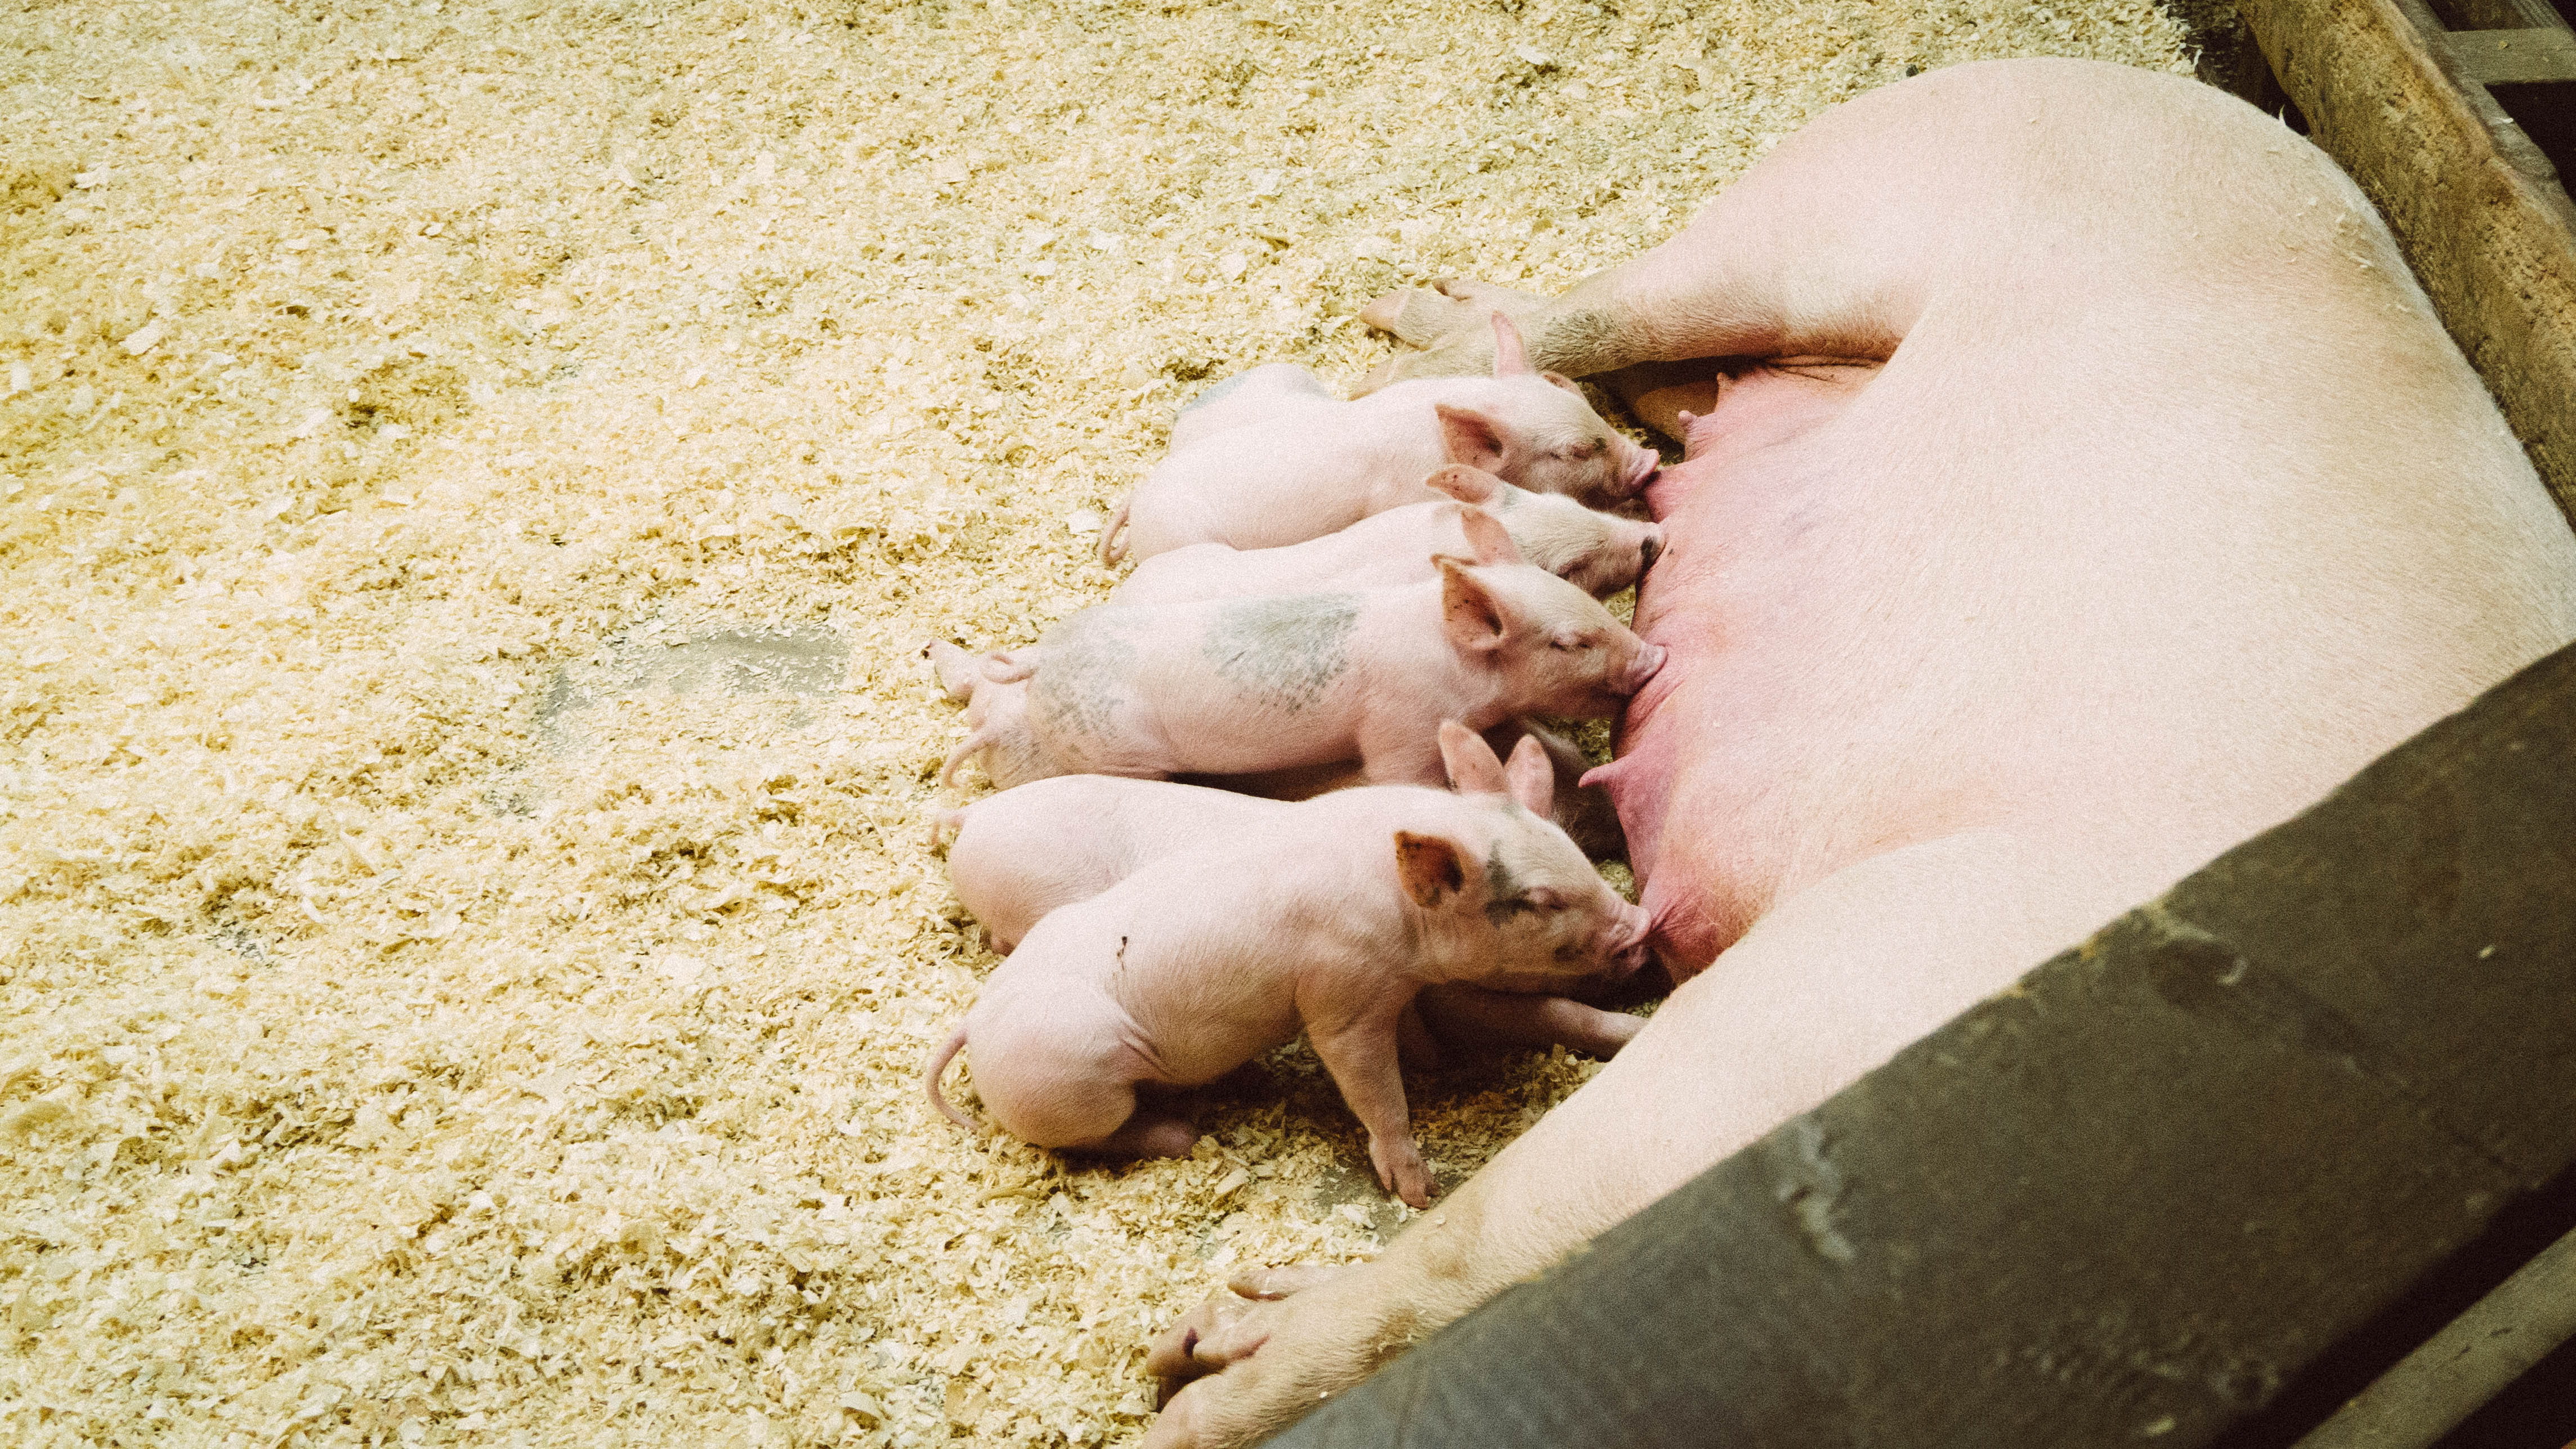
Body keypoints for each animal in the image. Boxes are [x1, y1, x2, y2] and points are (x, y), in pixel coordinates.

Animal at [922, 724, 1656, 1207]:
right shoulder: (1340, 999)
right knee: (1090, 1138)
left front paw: (1433, 1064)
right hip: (1078, 1086)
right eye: (1541, 901)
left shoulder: (1394, 990)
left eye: (1575, 852)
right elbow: (1377, 1088)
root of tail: (973, 1026)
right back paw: (1182, 1132)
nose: (1641, 928)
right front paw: (1420, 1192)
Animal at [929, 557, 1664, 791]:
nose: (1654, 657)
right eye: (1569, 641)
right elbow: (1402, 777)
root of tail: (1044, 661)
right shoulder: (1399, 728)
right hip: (1120, 754)